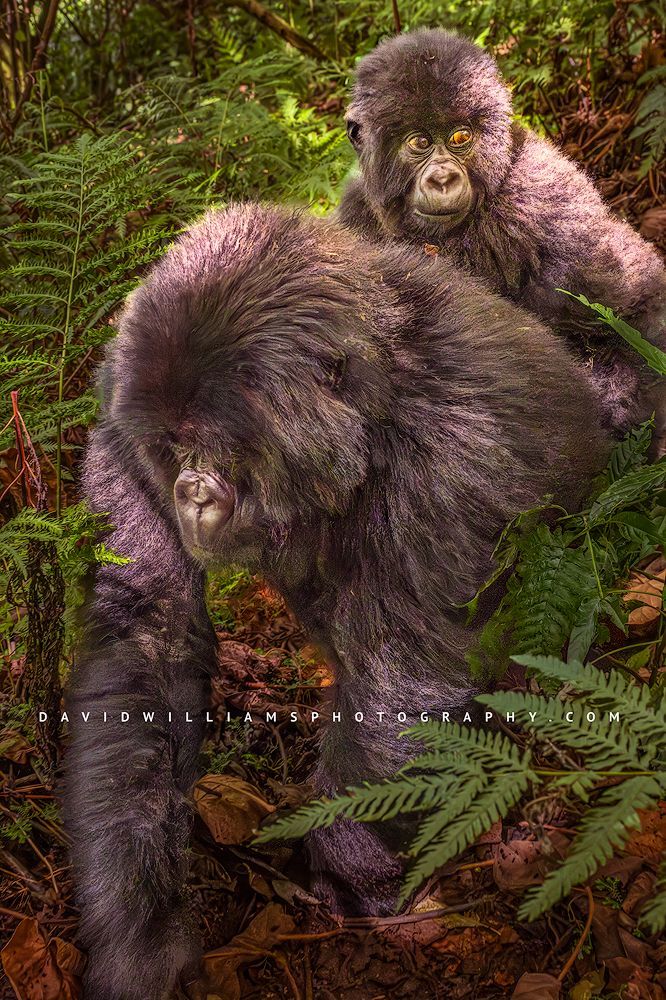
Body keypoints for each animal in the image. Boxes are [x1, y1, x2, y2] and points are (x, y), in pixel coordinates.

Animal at [63, 202, 611, 999]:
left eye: (217, 451)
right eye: (171, 448)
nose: (191, 494)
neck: (372, 408)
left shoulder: (450, 455)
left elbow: (405, 683)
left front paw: (350, 873)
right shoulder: (121, 428)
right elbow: (146, 645)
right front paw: (142, 936)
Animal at [337, 28, 666, 440]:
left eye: (460, 137)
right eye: (420, 143)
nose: (443, 179)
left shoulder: (545, 191)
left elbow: (634, 303)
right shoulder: (355, 212)